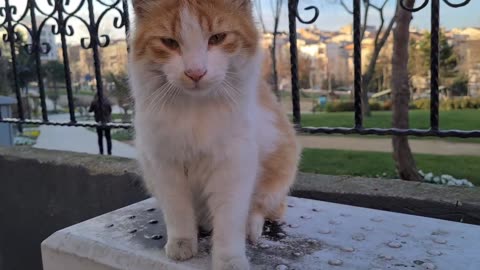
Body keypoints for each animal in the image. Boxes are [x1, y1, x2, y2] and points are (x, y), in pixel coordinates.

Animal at [128, 1, 300, 268]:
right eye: (169, 42)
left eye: (217, 38)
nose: (195, 72)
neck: (196, 110)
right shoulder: (165, 167)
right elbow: (178, 213)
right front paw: (182, 243)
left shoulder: (232, 168)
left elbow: (229, 223)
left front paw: (229, 260)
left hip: (277, 177)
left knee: (261, 210)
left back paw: (251, 230)